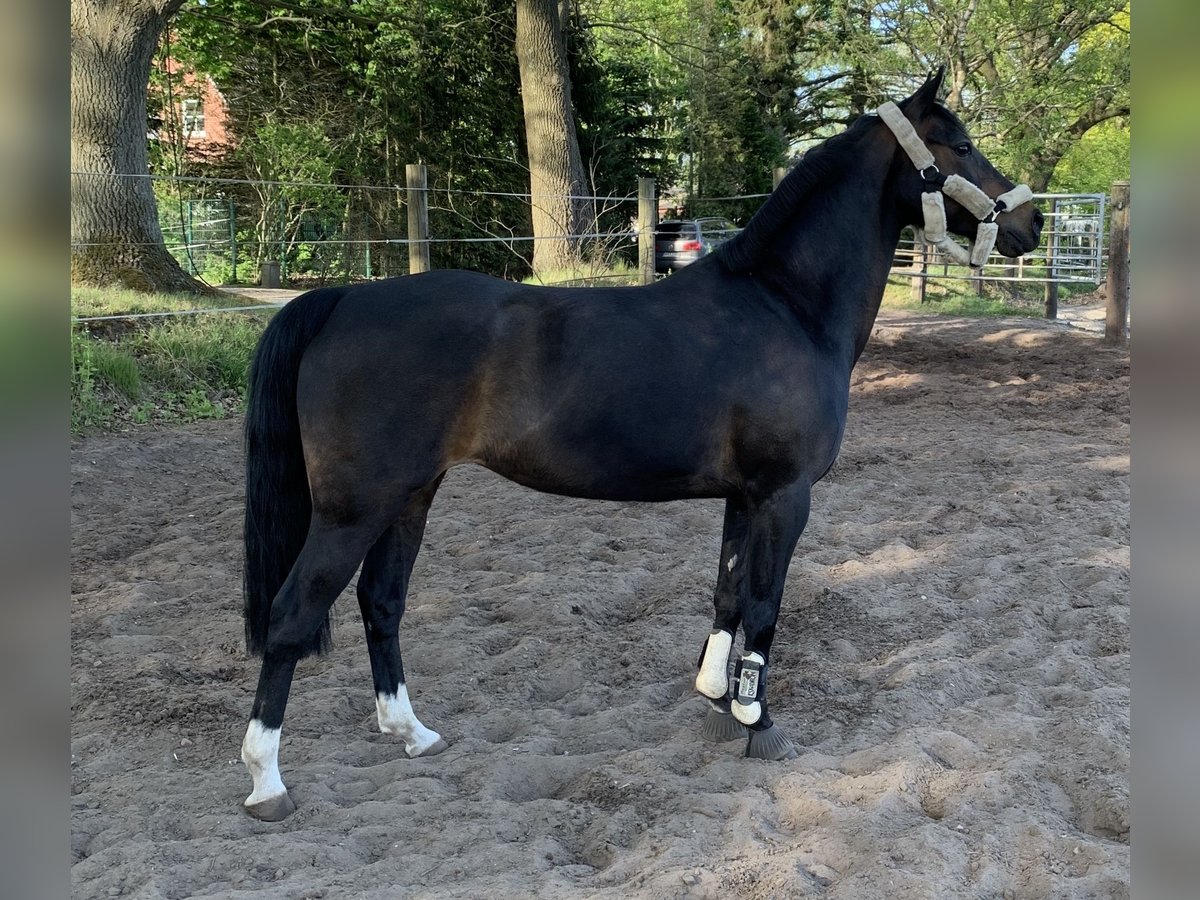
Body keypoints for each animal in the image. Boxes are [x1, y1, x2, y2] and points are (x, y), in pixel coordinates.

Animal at [236, 66, 1041, 820]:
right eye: (959, 144)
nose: (1031, 223)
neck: (785, 304)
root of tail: (342, 298)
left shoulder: (746, 497)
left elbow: (727, 593)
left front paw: (716, 698)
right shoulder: (786, 497)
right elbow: (765, 605)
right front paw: (758, 720)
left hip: (409, 497)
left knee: (382, 603)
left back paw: (413, 733)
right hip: (353, 510)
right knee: (291, 616)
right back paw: (267, 781)